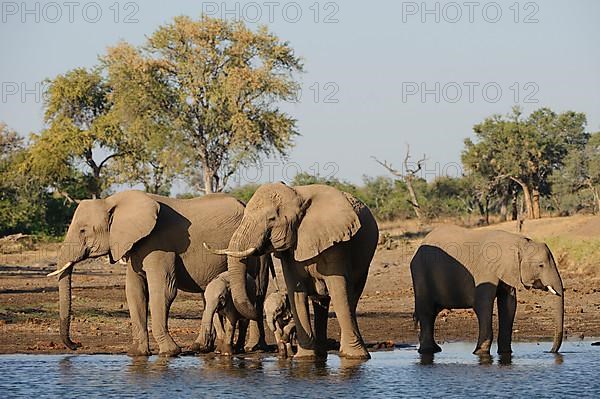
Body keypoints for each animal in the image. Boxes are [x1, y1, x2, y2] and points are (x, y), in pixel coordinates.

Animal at [48, 190, 268, 356]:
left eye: (83, 231)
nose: (76, 345)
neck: (112, 202)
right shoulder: (135, 245)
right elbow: (134, 291)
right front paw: (137, 353)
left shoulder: (159, 244)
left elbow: (163, 291)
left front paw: (170, 352)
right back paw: (204, 348)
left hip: (254, 248)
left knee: (254, 291)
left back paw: (248, 348)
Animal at [204, 183, 378, 360]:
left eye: (272, 219)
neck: (298, 195)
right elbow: (296, 292)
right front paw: (305, 358)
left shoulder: (337, 243)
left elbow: (338, 291)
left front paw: (356, 357)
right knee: (321, 301)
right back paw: (321, 353)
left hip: (364, 261)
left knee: (351, 296)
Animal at [408, 225, 564, 356]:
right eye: (541, 265)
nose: (550, 351)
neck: (517, 242)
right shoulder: (486, 271)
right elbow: (483, 305)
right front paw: (480, 353)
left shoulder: (506, 271)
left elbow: (509, 305)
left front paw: (505, 353)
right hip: (420, 271)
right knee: (427, 311)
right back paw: (428, 351)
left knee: (432, 312)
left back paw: (435, 350)